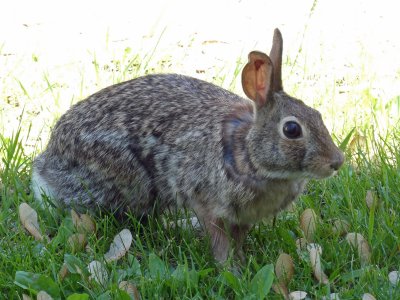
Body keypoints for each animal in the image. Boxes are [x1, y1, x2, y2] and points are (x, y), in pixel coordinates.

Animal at [32, 28, 344, 262]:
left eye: (317, 114)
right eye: (292, 130)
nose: (336, 162)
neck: (249, 155)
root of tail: (46, 161)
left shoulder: (243, 217)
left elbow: (238, 239)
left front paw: (242, 263)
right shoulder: (208, 205)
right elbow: (220, 241)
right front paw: (230, 269)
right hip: (126, 183)